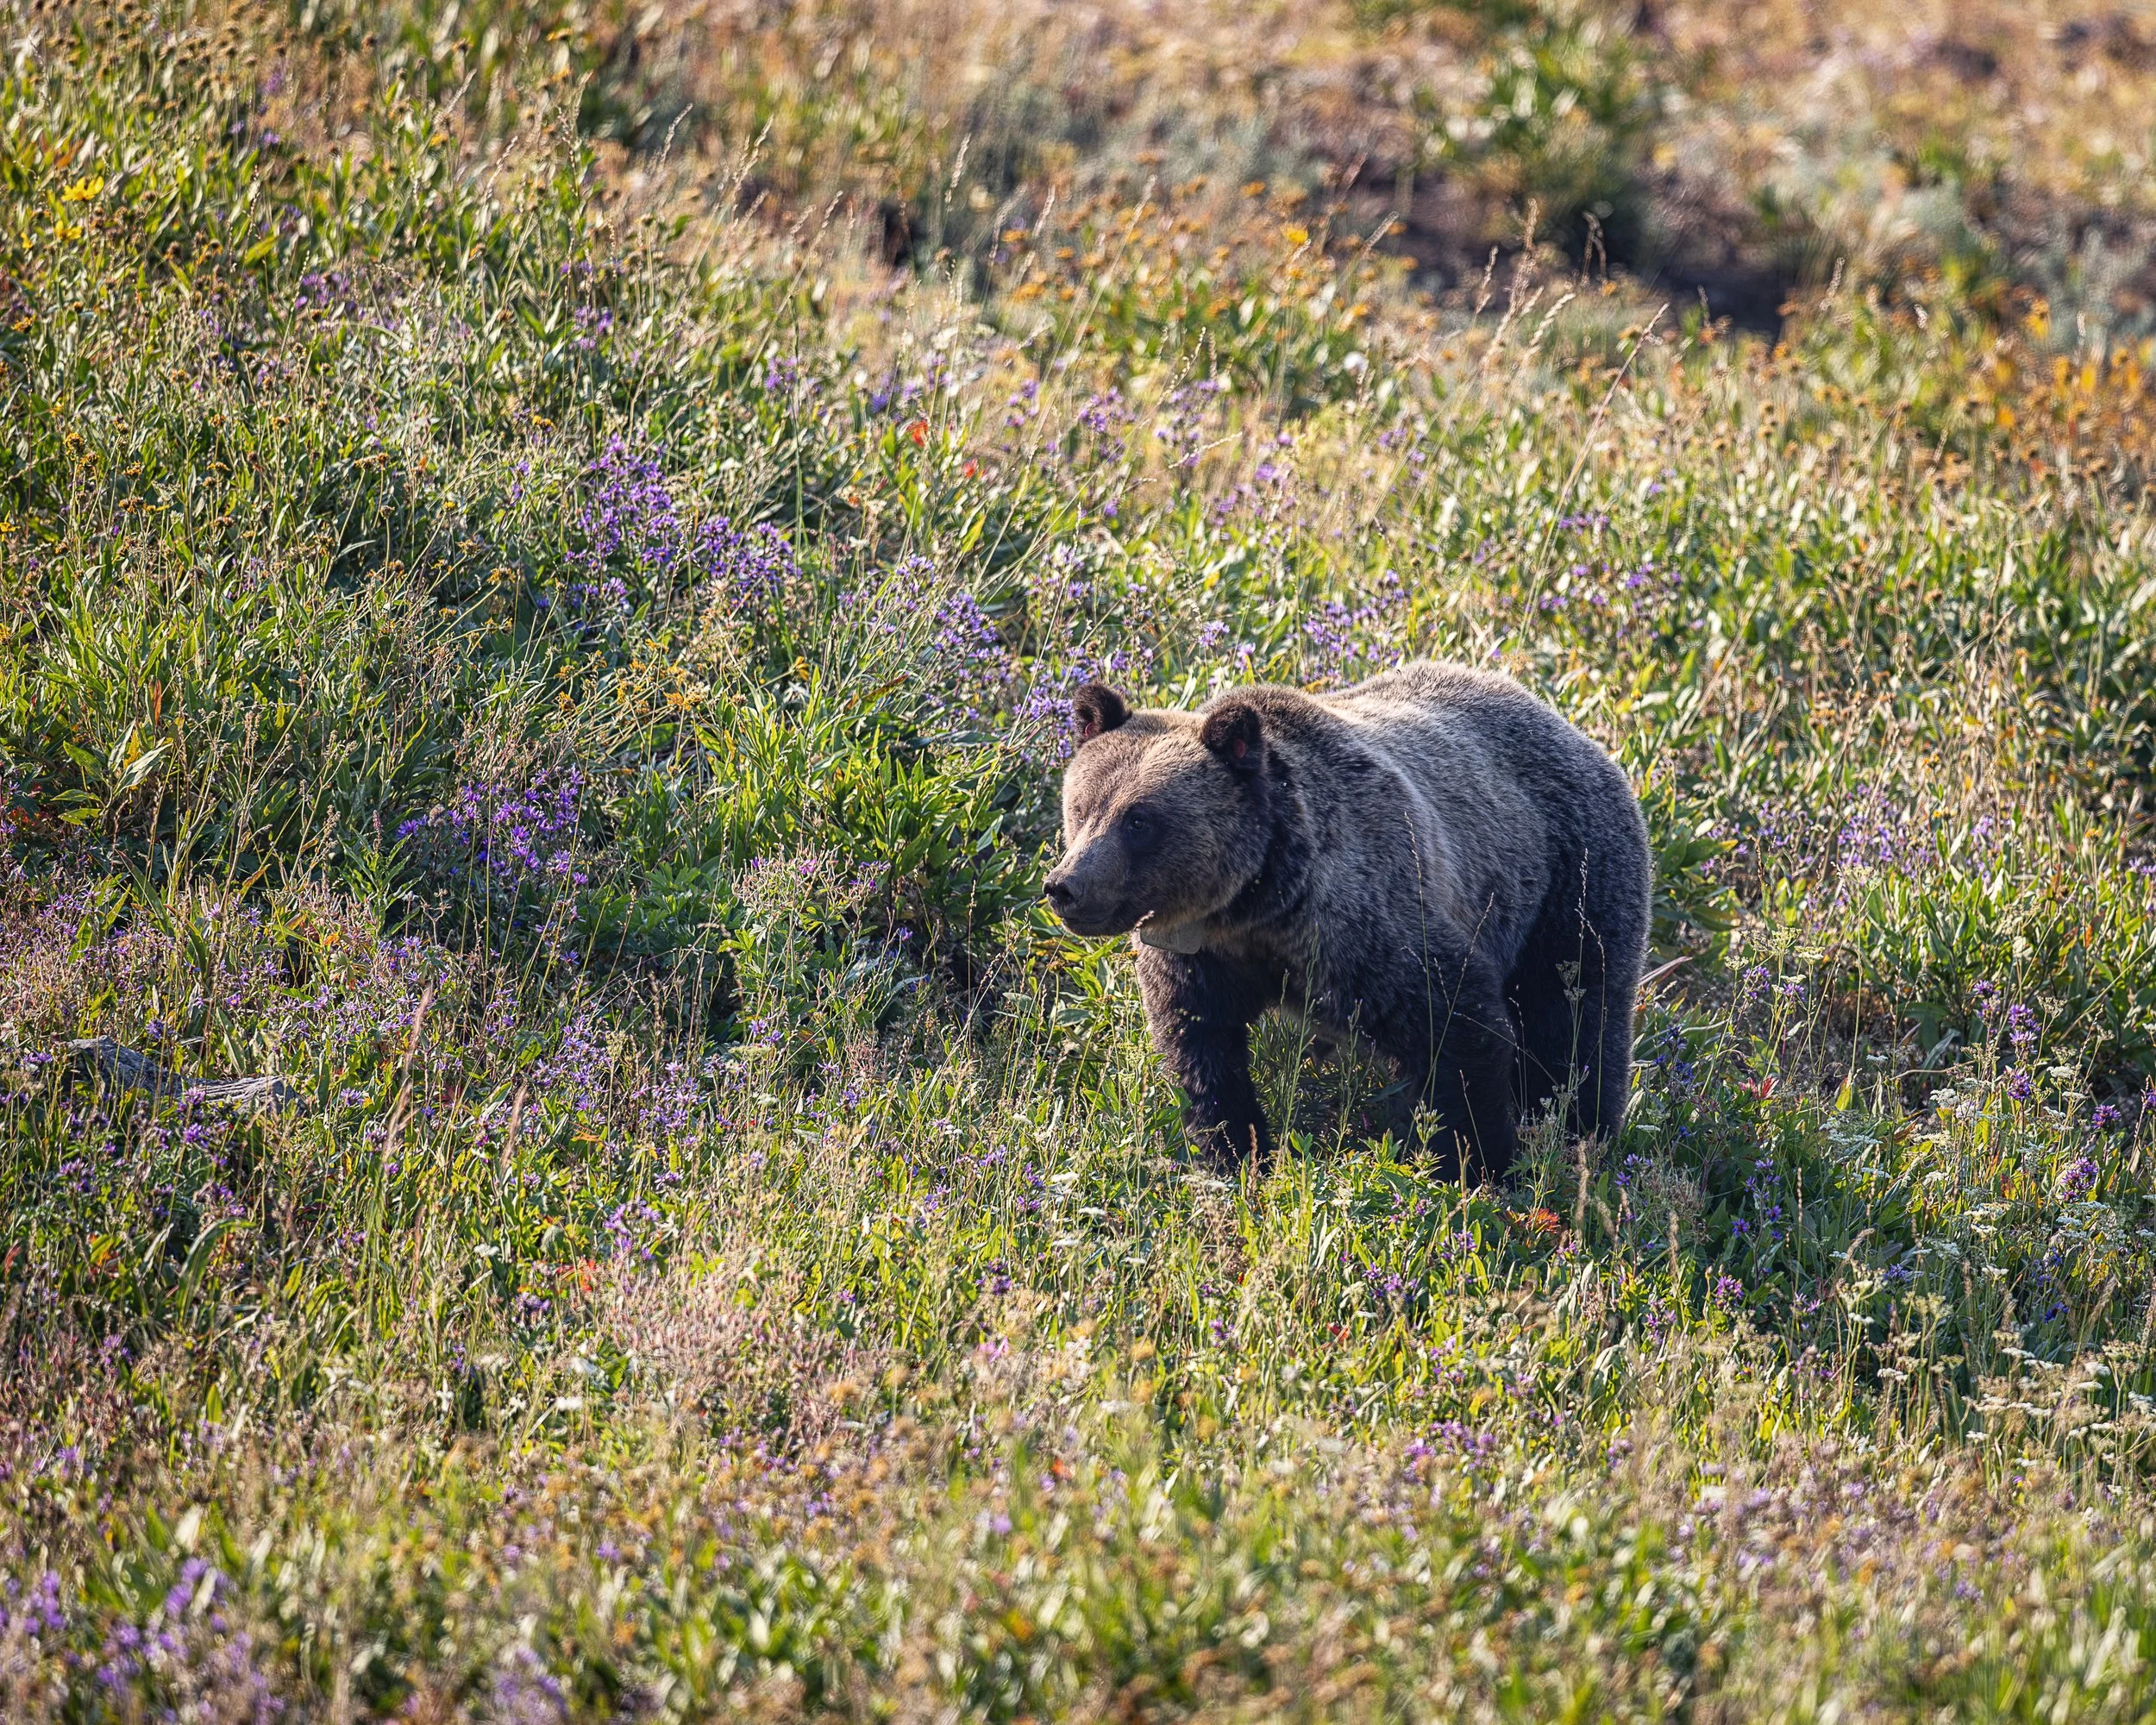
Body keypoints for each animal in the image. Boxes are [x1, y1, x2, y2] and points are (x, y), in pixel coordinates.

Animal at [1041, 660, 1652, 1182]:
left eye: (1139, 820)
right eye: (1082, 806)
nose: (1065, 887)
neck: (1258, 905)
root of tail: (1569, 726)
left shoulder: (1366, 925)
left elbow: (1460, 1027)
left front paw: (1480, 1164)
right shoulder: (1200, 955)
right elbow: (1202, 1049)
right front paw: (1236, 1155)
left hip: (1569, 879)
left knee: (1575, 1015)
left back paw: (1581, 1135)